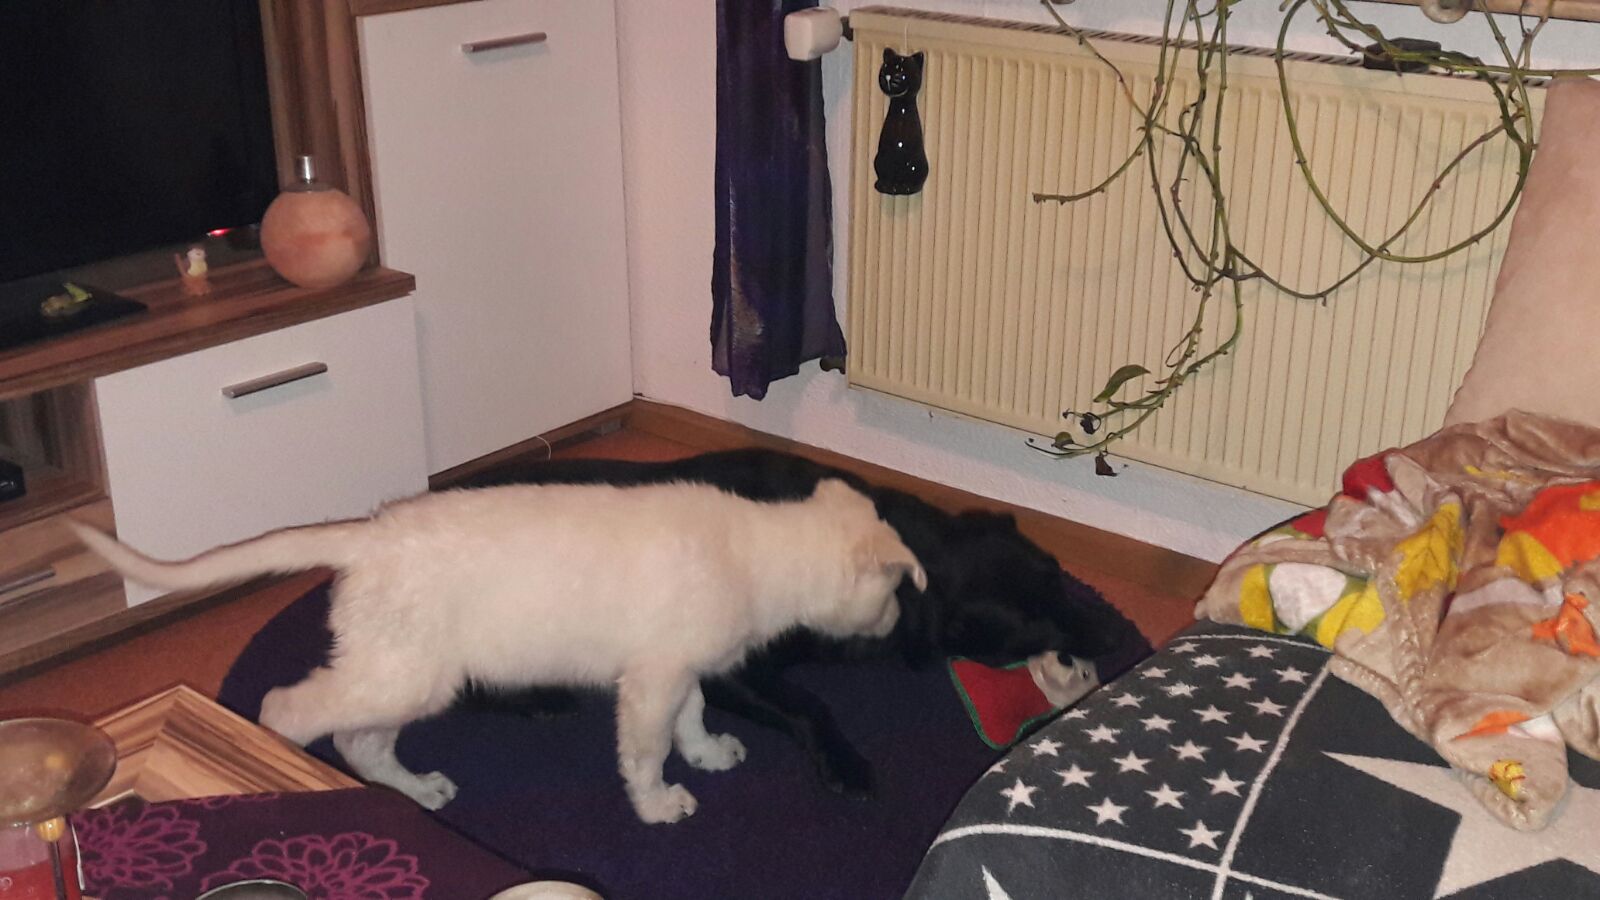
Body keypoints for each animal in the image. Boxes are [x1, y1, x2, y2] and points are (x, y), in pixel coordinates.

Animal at [71, 478, 924, 823]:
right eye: (894, 590)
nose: (893, 628)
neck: (755, 551)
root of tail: (367, 537)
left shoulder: (676, 667)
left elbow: (693, 717)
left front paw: (711, 753)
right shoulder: (649, 680)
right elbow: (647, 750)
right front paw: (659, 805)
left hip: (407, 673)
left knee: (361, 742)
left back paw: (417, 792)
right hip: (402, 673)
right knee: (291, 708)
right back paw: (274, 768)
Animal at [461, 447, 1147, 794]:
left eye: (1056, 574)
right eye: (1031, 626)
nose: (1122, 636)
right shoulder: (726, 665)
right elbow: (809, 704)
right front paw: (845, 764)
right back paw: (539, 698)